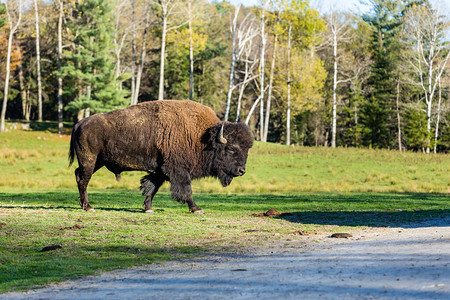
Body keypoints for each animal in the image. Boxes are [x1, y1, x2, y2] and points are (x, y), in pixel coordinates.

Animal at [69, 100, 255, 213]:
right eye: (231, 149)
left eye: (247, 149)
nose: (242, 171)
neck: (202, 136)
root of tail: (79, 123)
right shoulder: (179, 171)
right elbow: (186, 191)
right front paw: (196, 208)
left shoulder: (160, 170)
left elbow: (152, 188)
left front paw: (148, 208)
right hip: (89, 160)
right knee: (83, 179)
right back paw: (88, 207)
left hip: (98, 161)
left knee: (79, 176)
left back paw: (84, 205)